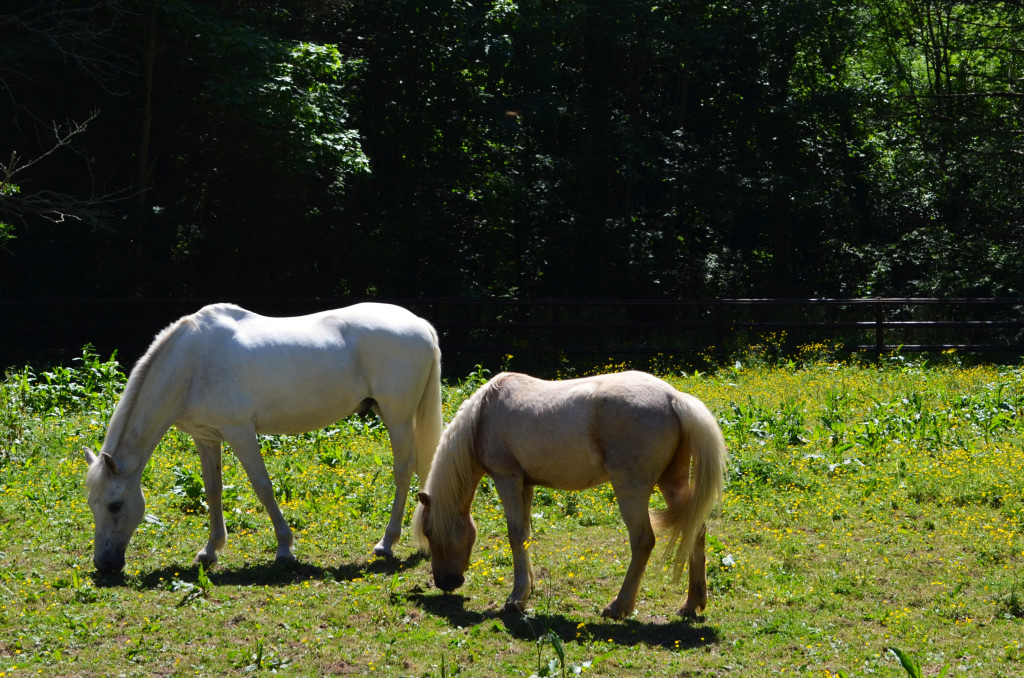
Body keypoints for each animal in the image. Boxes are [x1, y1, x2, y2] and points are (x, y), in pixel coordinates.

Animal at [82, 305, 440, 577]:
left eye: (115, 505)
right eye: (92, 504)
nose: (104, 565)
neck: (192, 363)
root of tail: (421, 325)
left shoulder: (239, 431)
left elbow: (262, 486)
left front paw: (284, 548)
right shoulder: (206, 437)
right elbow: (213, 489)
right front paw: (210, 550)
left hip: (396, 417)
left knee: (403, 471)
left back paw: (387, 543)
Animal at [409, 372, 729, 622]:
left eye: (429, 531)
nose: (444, 583)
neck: (484, 413)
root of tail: (674, 398)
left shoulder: (507, 479)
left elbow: (514, 534)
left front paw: (516, 599)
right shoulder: (526, 484)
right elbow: (525, 534)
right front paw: (528, 588)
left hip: (631, 488)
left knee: (643, 541)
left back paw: (618, 606)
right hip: (672, 482)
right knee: (694, 529)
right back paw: (692, 603)